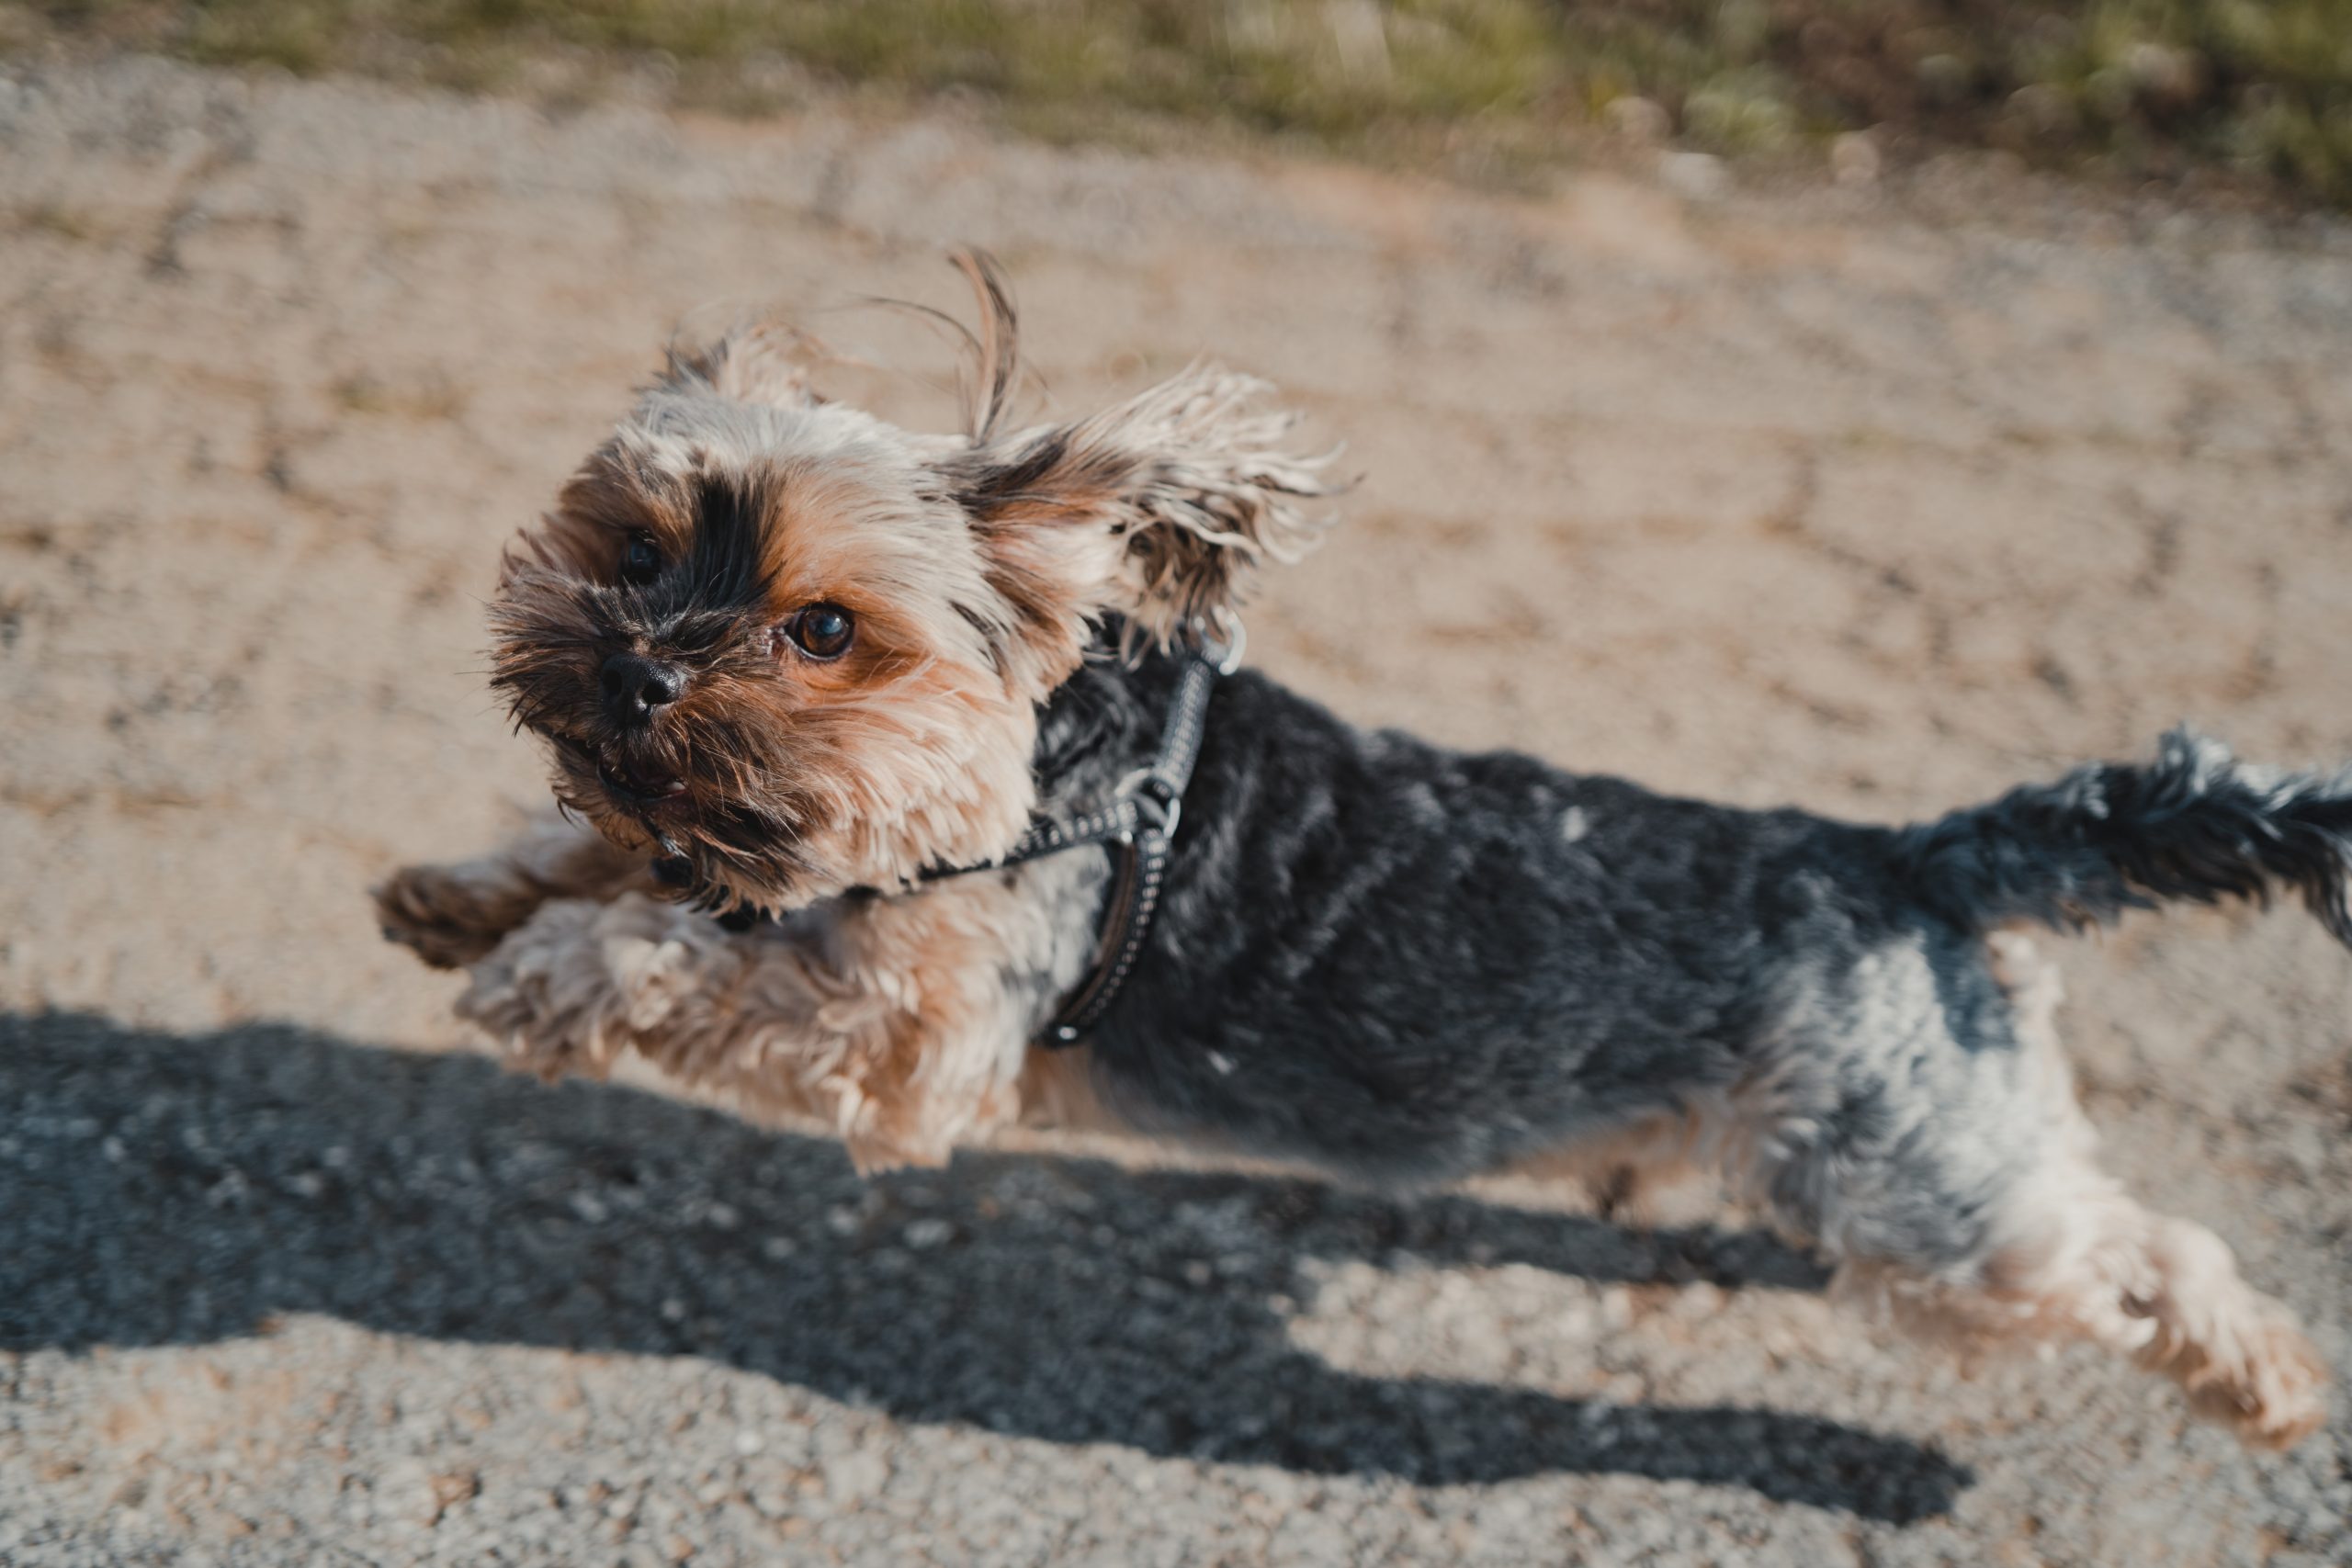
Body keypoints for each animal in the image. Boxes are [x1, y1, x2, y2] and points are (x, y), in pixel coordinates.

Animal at [376, 254, 2342, 1448]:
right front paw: (461, 898)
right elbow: (617, 858)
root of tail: (1928, 859)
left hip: (1916, 1195)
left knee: (2136, 1251)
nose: (636, 674)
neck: (1037, 765)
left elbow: (684, 952)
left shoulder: (913, 1039)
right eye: (633, 549)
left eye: (823, 630)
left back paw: (2269, 1385)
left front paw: (546, 980)